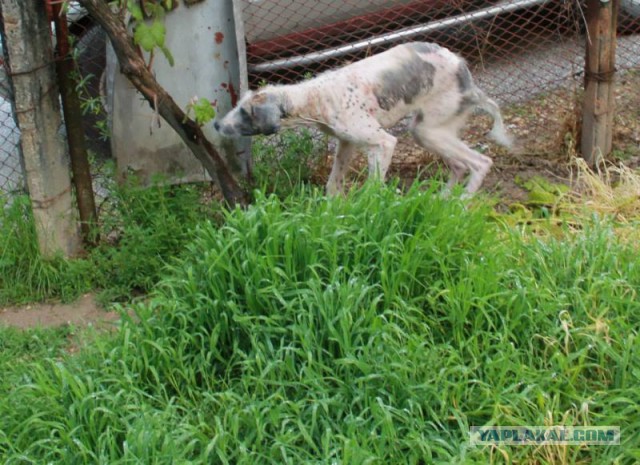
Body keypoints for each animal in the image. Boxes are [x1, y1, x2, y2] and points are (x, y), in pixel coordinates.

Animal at [214, 42, 510, 196]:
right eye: (237, 106)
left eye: (246, 113)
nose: (216, 125)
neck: (317, 96)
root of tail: (463, 68)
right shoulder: (346, 144)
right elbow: (333, 184)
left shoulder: (383, 143)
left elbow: (372, 189)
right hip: (429, 132)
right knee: (459, 166)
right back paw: (442, 204)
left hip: (430, 130)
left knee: (481, 163)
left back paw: (461, 205)